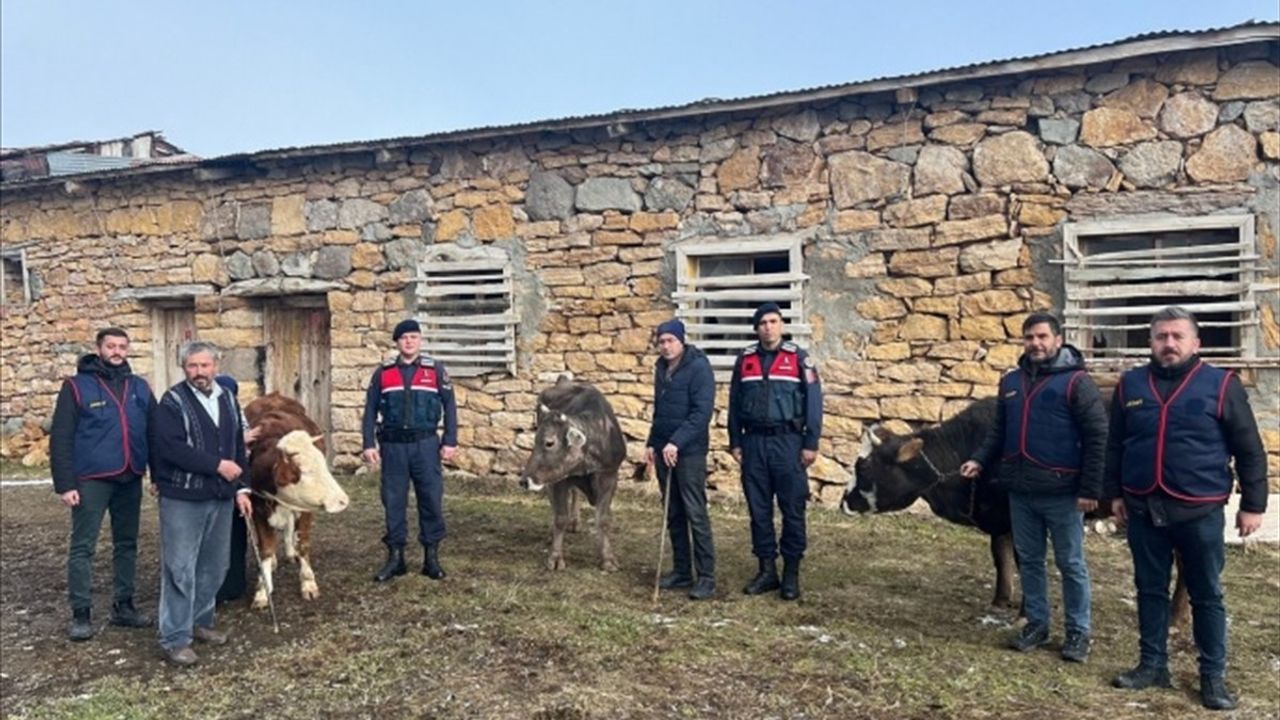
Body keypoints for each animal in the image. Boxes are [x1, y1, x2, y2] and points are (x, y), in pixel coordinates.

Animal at [240, 394, 348, 607]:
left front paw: (308, 583)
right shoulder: (257, 508)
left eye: (323, 464)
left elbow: (303, 544)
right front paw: (262, 590)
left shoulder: (306, 509)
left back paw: (291, 554)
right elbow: (265, 549)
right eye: (305, 472)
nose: (343, 501)